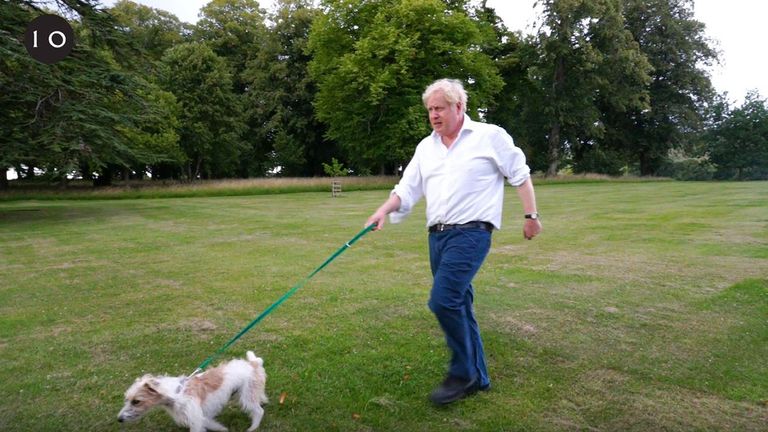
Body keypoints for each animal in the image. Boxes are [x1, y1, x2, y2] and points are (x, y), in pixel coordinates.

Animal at [116, 352, 268, 432]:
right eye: (126, 399)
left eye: (136, 401)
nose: (119, 419)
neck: (176, 393)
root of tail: (253, 363)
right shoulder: (200, 418)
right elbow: (211, 423)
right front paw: (221, 428)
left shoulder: (195, 419)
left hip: (247, 396)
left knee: (259, 411)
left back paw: (253, 427)